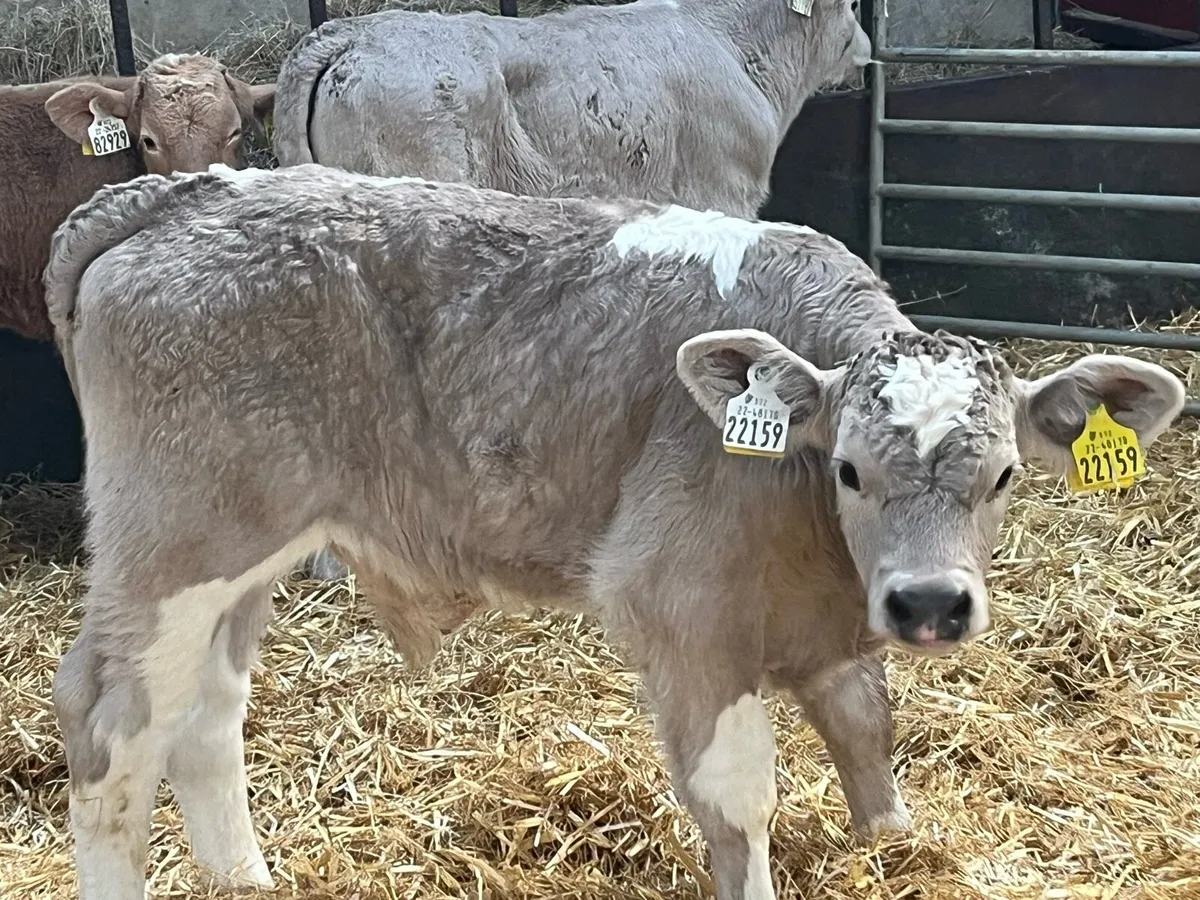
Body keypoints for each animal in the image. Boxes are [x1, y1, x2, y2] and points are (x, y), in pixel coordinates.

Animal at [44, 164, 1184, 900]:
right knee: (110, 728)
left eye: (1002, 477)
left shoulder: (826, 623)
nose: (930, 603)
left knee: (204, 716)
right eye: (851, 471)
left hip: (247, 552)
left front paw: (895, 851)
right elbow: (740, 801)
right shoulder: (684, 610)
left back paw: (248, 879)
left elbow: (867, 735)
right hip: (173, 546)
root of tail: (179, 191)